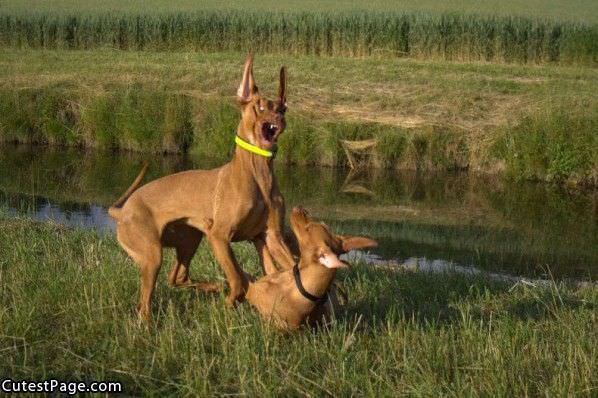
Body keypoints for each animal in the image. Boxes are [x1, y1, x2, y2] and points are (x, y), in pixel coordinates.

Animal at [109, 56, 296, 322]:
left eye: (282, 108)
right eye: (260, 107)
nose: (279, 120)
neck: (259, 175)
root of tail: (123, 211)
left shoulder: (272, 237)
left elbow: (292, 267)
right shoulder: (219, 236)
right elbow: (237, 280)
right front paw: (229, 304)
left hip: (189, 239)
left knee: (176, 277)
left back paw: (213, 286)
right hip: (152, 254)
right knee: (146, 303)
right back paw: (149, 324)